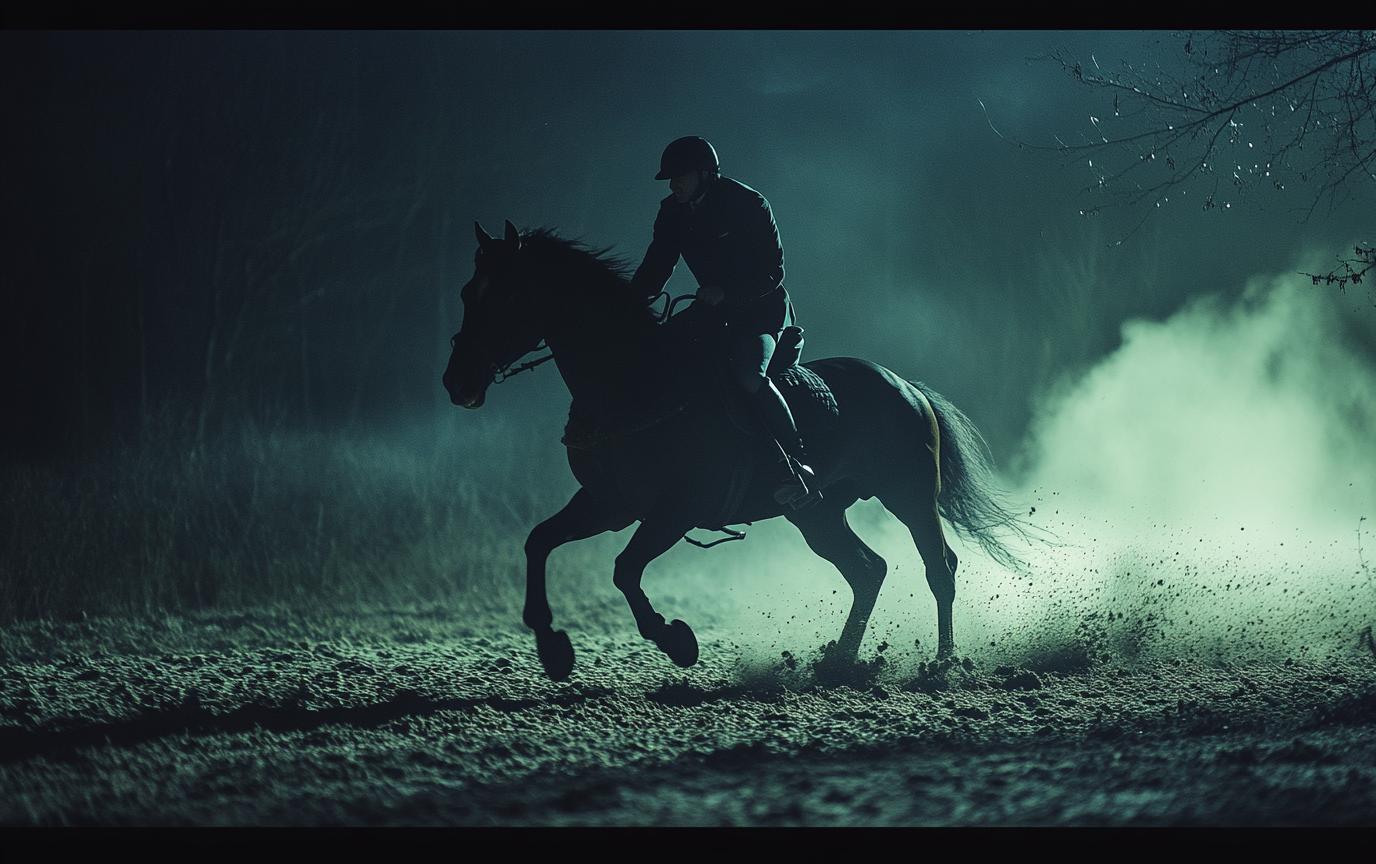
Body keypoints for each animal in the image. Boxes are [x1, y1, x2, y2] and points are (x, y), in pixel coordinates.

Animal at [443, 221, 1023, 682]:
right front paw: (552, 647)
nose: (456, 382)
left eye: (506, 296)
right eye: (469, 291)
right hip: (816, 514)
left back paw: (943, 663)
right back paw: (839, 663)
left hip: (909, 495)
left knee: (939, 568)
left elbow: (625, 570)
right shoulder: (610, 503)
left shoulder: (675, 509)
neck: (636, 383)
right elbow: (539, 542)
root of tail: (906, 386)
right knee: (868, 571)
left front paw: (675, 639)